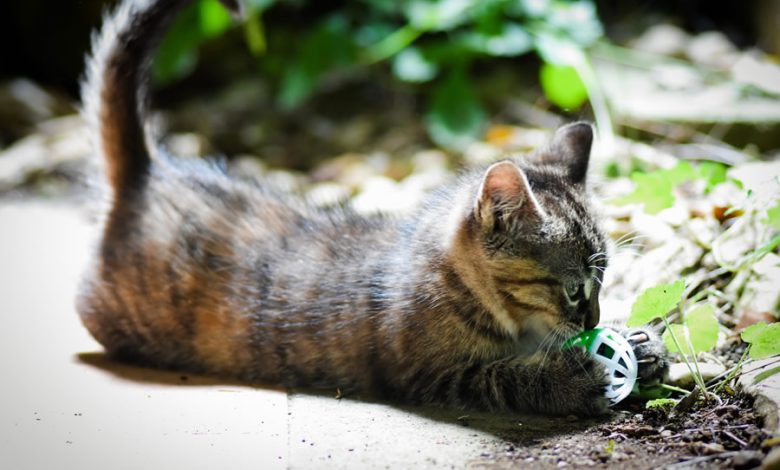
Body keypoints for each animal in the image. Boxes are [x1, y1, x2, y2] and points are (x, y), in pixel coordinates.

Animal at [76, 0, 668, 416]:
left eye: (604, 284)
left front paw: (642, 345)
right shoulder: (429, 374)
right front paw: (571, 377)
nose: (594, 320)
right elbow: (504, 377)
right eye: (574, 290)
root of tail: (149, 170)